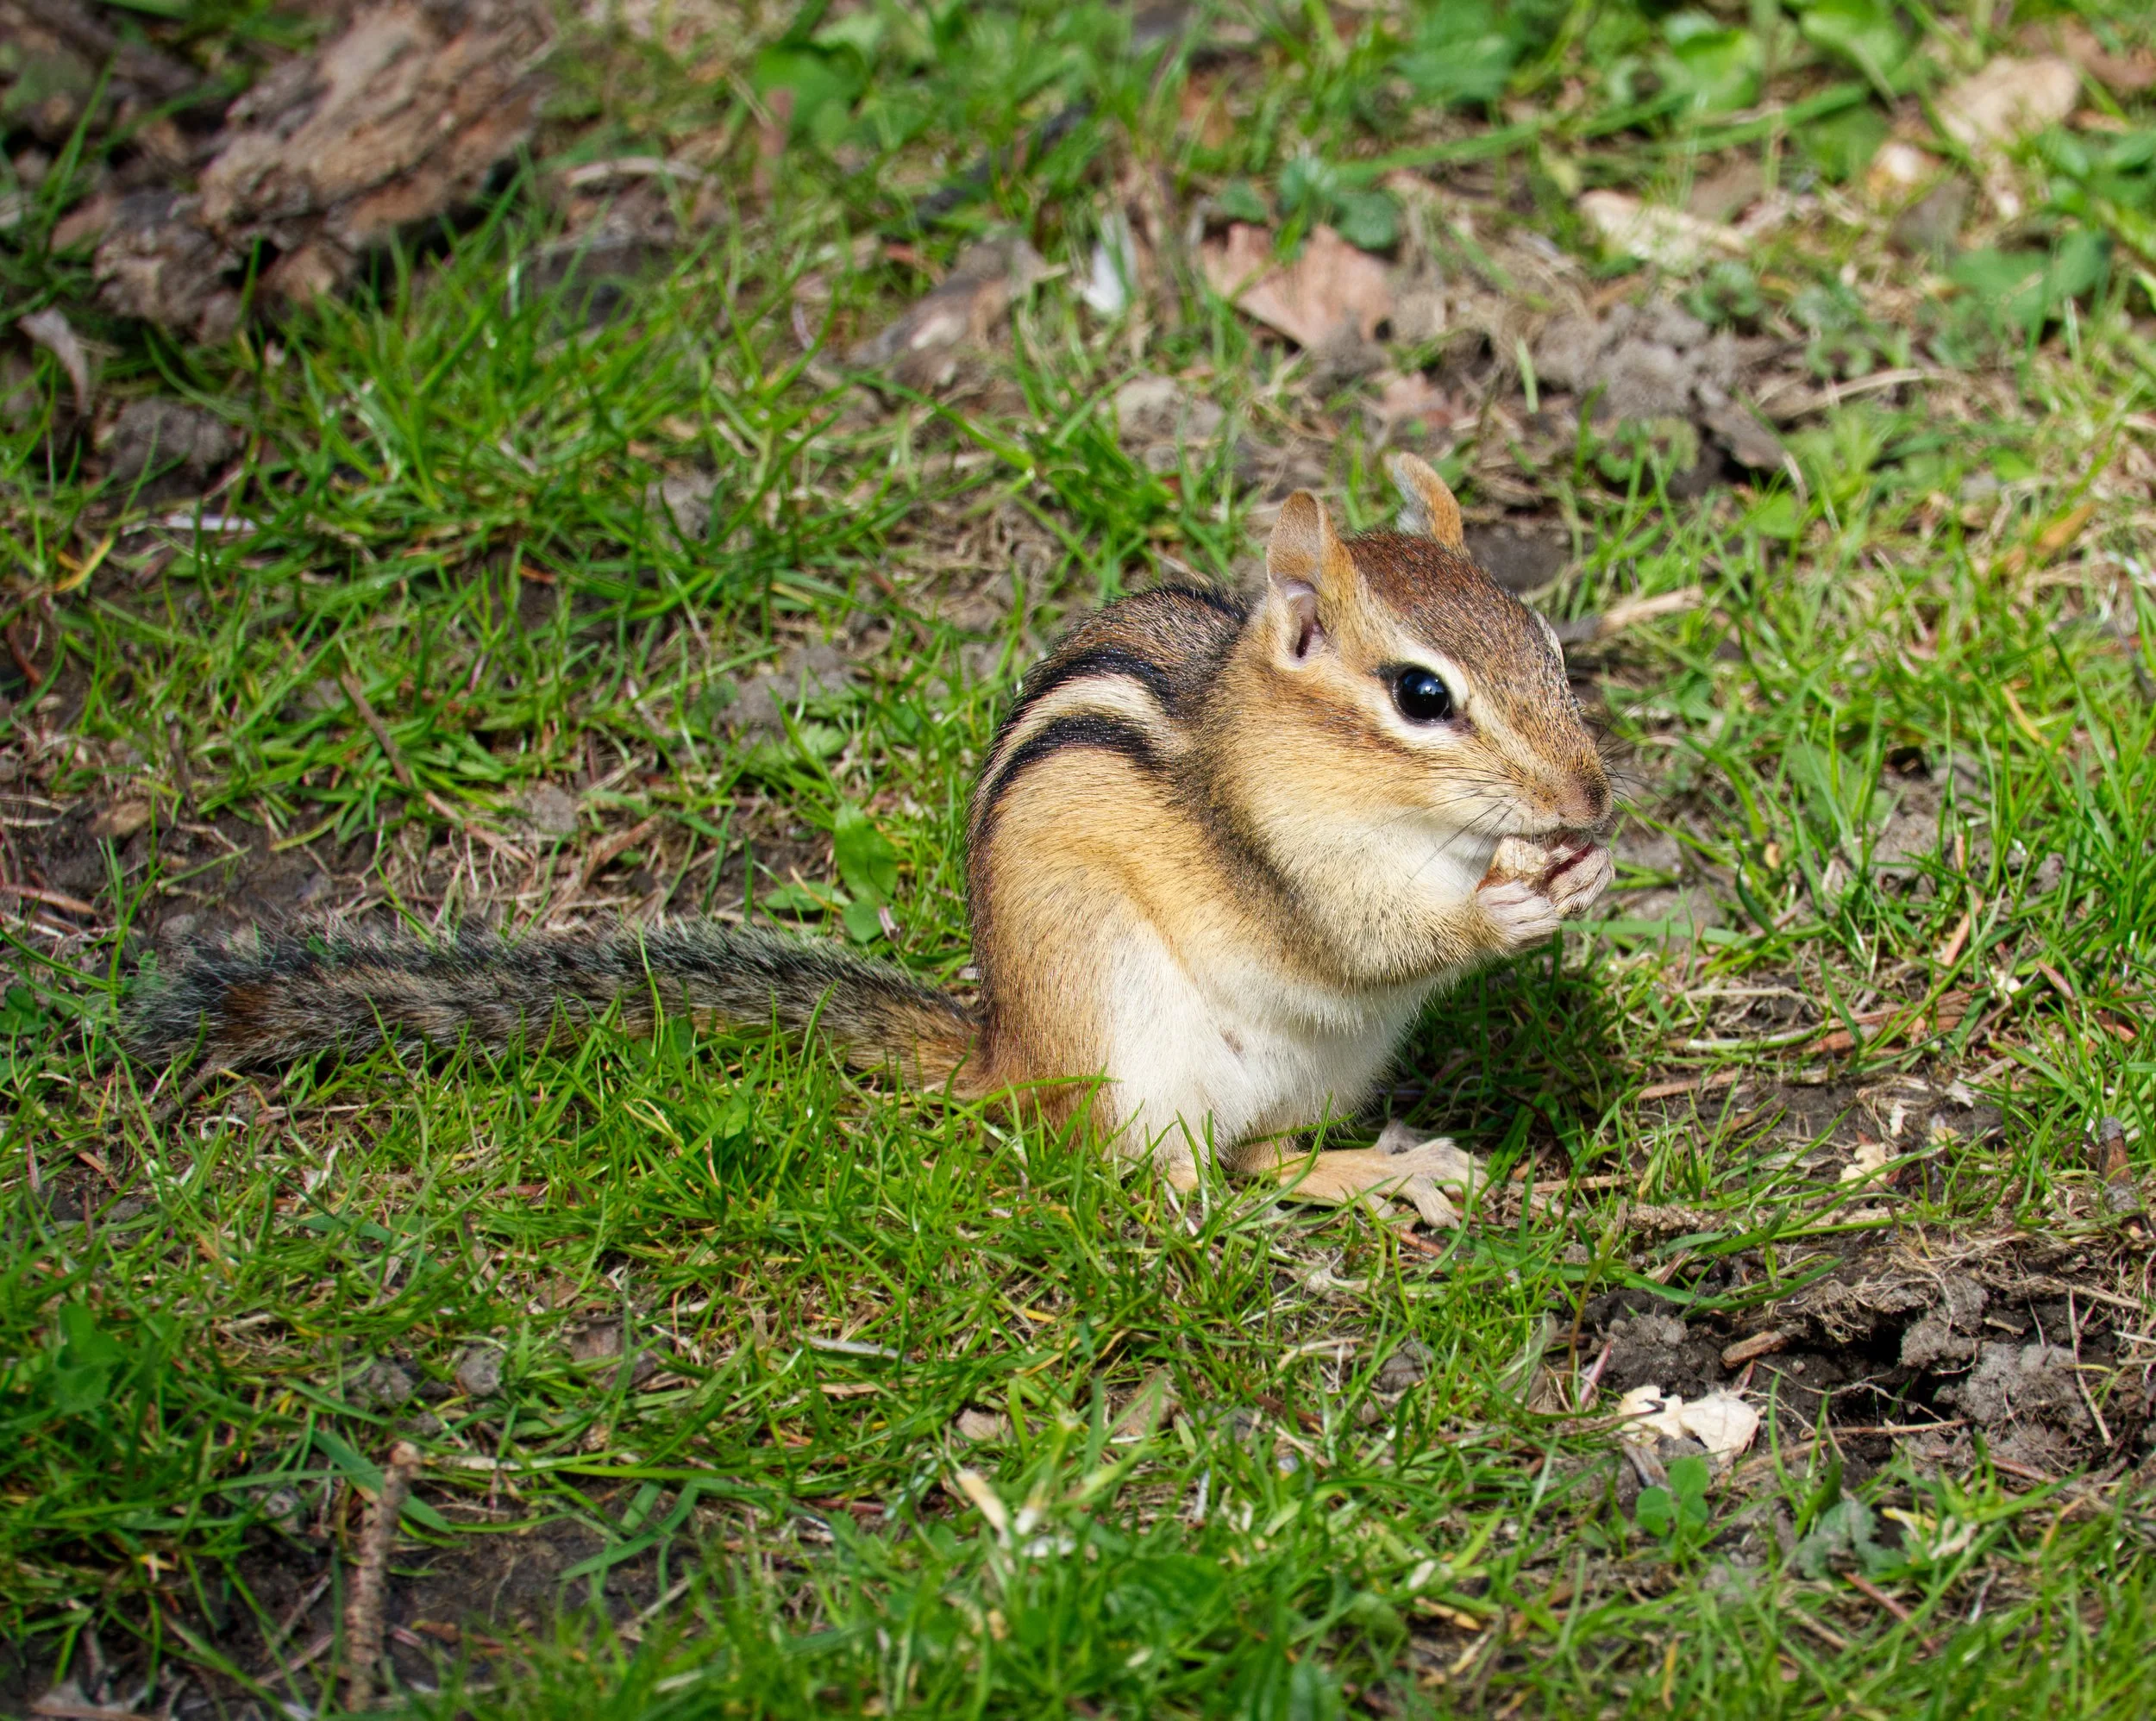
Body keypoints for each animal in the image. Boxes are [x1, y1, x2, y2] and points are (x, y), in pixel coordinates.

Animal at [127, 453, 1613, 1218]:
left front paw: (1580, 869)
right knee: (1185, 1184)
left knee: (1265, 1150)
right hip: (1139, 1057)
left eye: (1547, 643)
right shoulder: (1283, 865)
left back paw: (1380, 1170)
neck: (1386, 810)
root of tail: (1006, 1058)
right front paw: (1507, 905)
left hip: (1320, 1071)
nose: (1592, 798)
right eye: (1421, 696)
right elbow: (1364, 939)